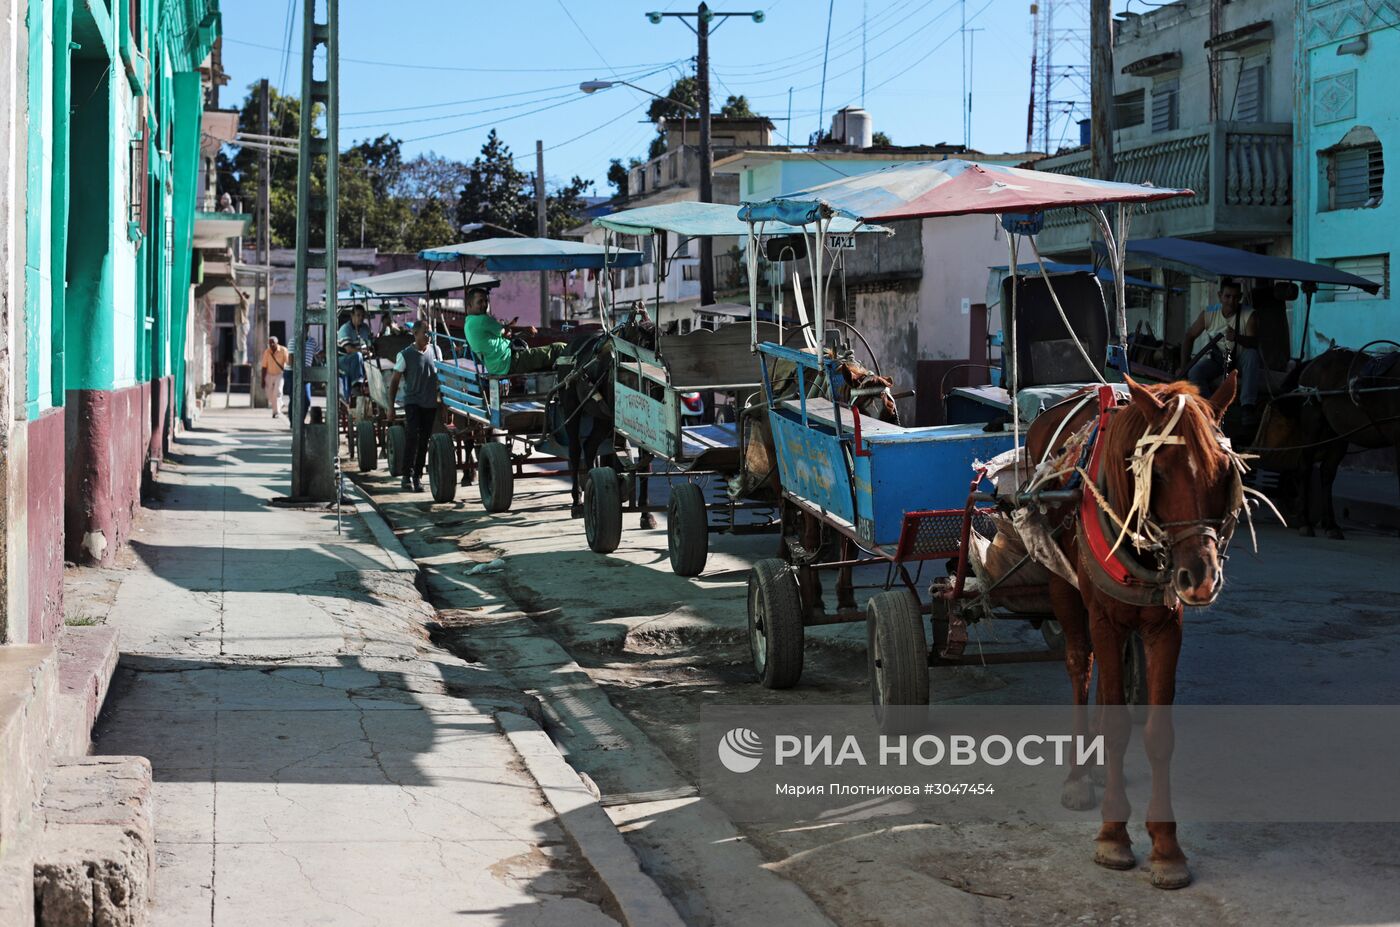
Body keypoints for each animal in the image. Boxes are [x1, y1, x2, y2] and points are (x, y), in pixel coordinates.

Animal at [1024, 375, 1243, 896]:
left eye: (1224, 472)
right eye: (1156, 474)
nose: (1200, 578)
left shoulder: (1165, 625)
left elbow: (1156, 732)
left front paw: (1166, 848)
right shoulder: (1103, 617)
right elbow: (1121, 724)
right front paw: (1112, 836)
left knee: (1111, 681)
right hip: (1064, 587)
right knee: (1081, 667)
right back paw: (1080, 773)